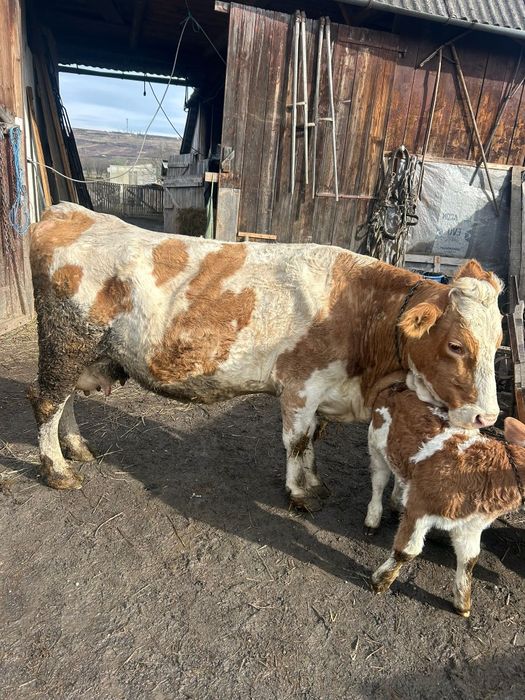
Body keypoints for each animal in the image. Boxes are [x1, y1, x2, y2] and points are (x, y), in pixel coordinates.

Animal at [28, 203, 503, 510]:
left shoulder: (323, 395)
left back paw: (77, 448)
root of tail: (68, 211)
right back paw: (58, 471)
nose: (488, 417)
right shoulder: (299, 386)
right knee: (47, 401)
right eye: (456, 345)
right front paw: (300, 493)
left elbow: (312, 441)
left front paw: (314, 483)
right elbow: (296, 441)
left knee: (65, 402)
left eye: (498, 341)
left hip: (78, 351)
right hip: (66, 340)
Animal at [365, 383, 525, 617]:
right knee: (379, 481)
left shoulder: (470, 525)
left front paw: (463, 604)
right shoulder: (420, 506)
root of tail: (399, 386)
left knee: (399, 477)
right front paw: (380, 582)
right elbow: (407, 551)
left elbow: (469, 560)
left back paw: (397, 505)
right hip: (376, 444)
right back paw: (372, 520)